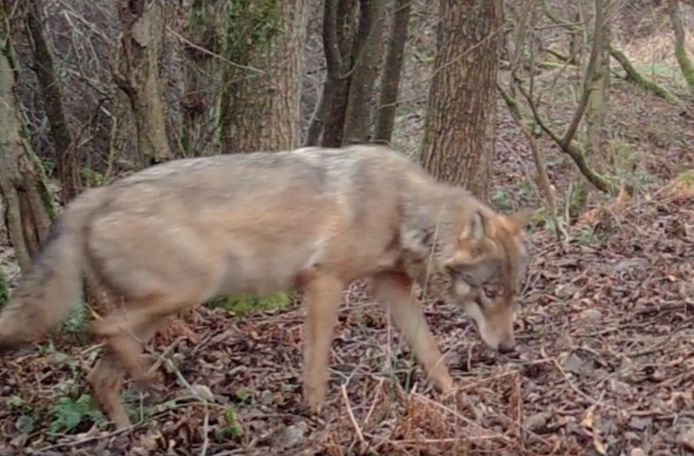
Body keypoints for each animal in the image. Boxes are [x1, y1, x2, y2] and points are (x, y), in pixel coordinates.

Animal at [0, 145, 532, 428]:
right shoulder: (323, 283)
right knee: (102, 327)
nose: (508, 349)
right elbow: (316, 366)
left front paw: (456, 400)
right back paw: (156, 382)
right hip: (189, 289)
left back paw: (131, 427)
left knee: (101, 372)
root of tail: (93, 196)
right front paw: (316, 415)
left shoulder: (393, 289)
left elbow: (431, 353)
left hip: (161, 309)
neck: (402, 208)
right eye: (489, 294)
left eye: (511, 295)